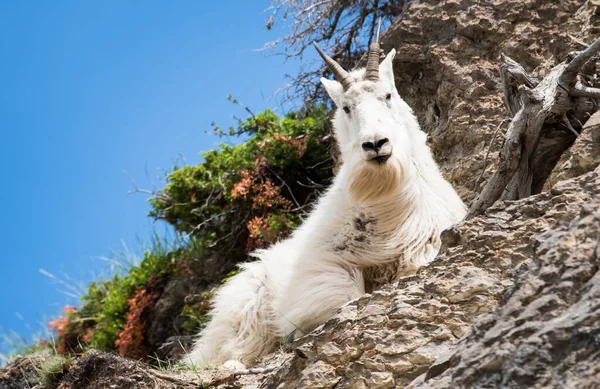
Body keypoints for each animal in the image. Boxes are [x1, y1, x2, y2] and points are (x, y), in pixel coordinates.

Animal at [186, 31, 464, 366]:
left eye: (387, 96)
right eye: (346, 107)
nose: (376, 144)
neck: (388, 199)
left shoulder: (427, 240)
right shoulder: (321, 267)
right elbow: (347, 294)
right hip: (246, 309)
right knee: (232, 351)